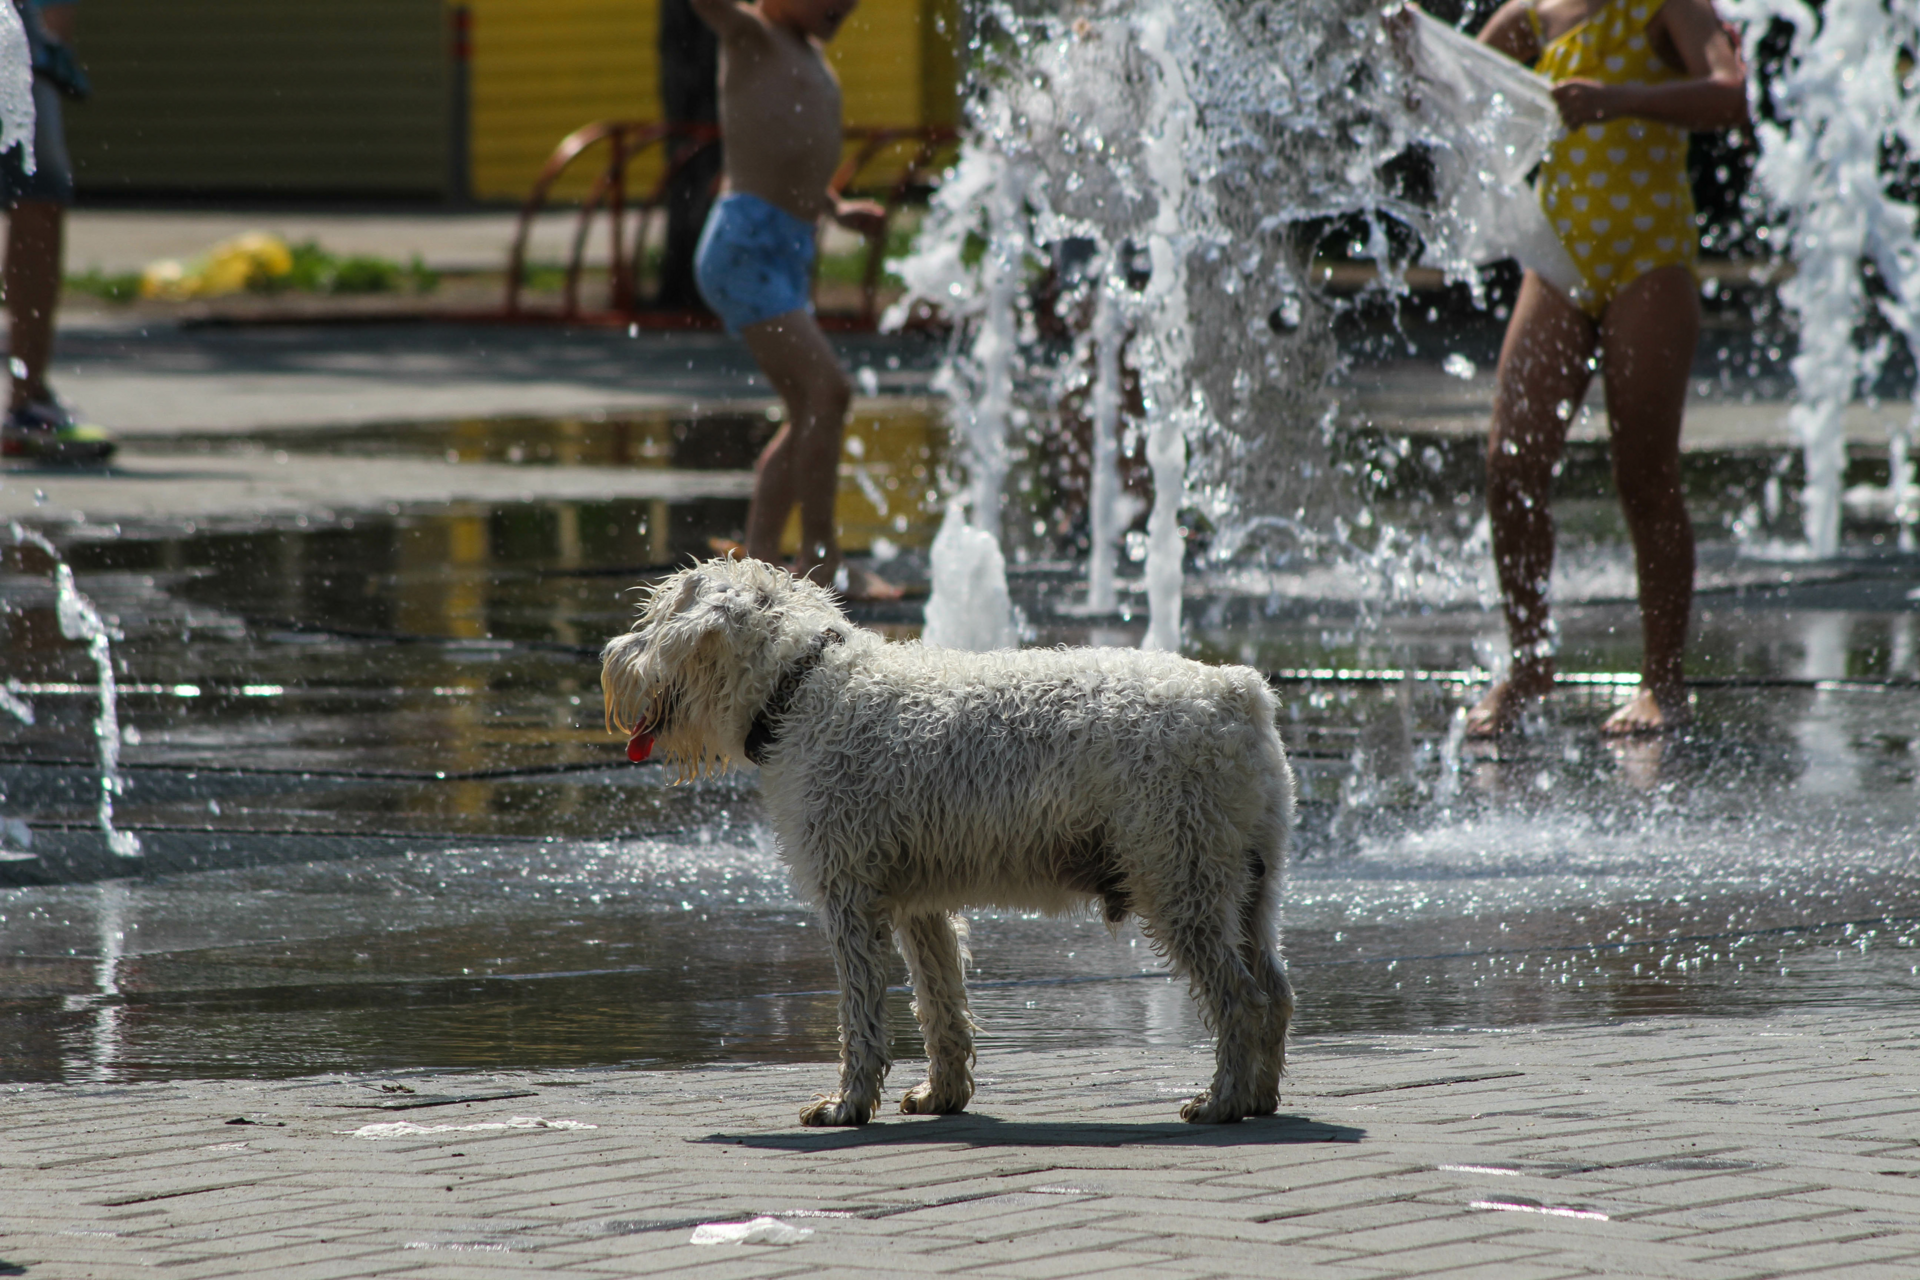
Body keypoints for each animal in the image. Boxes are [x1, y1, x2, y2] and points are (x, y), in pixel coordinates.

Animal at [606, 560, 1297, 1128]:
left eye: (659, 616)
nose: (611, 657)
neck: (804, 687)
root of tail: (1240, 695)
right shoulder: (920, 906)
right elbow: (941, 1007)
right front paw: (943, 1095)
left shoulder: (849, 897)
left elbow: (860, 1013)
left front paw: (848, 1104)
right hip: (1248, 888)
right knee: (1277, 990)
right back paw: (1261, 1096)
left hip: (1181, 881)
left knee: (1241, 999)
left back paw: (1223, 1100)